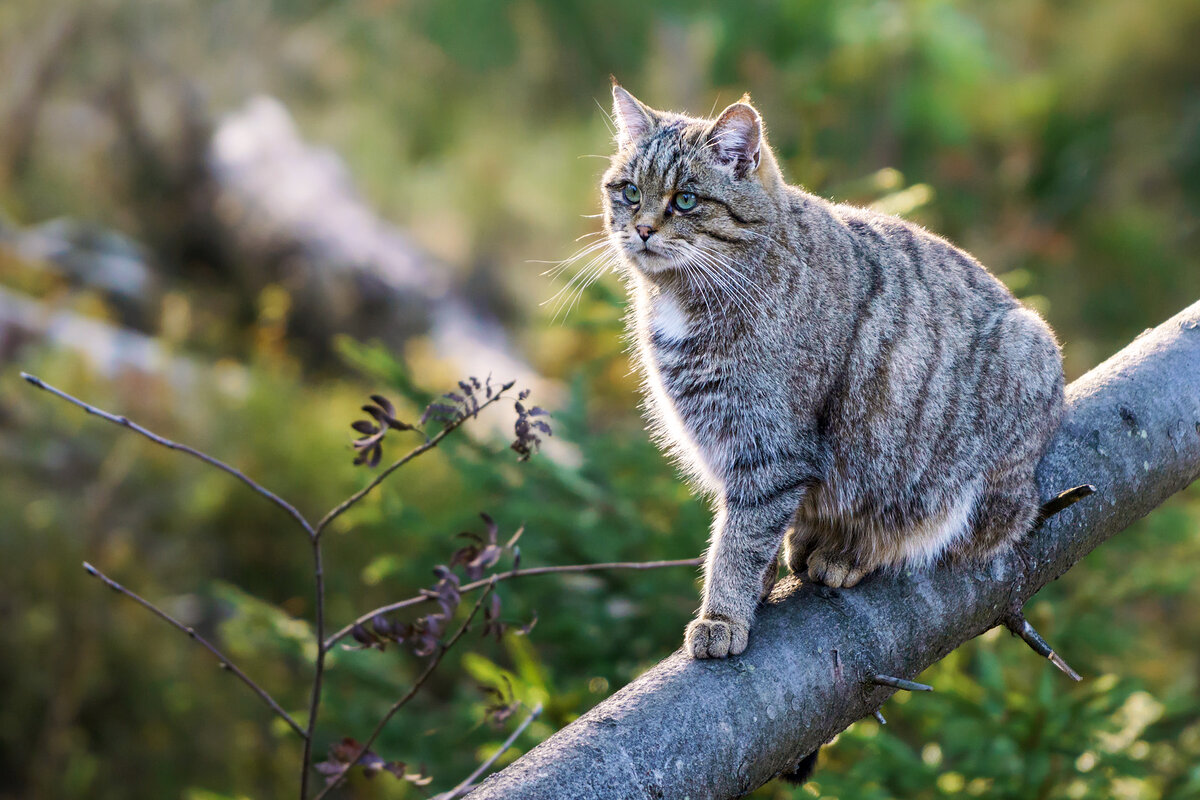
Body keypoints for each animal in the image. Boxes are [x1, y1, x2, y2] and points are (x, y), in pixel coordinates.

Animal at [604, 81, 1065, 662]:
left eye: (685, 199)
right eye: (629, 192)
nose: (641, 228)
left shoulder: (771, 449)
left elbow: (738, 540)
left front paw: (722, 614)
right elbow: (749, 532)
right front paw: (755, 586)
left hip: (1006, 384)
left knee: (944, 530)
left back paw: (851, 552)